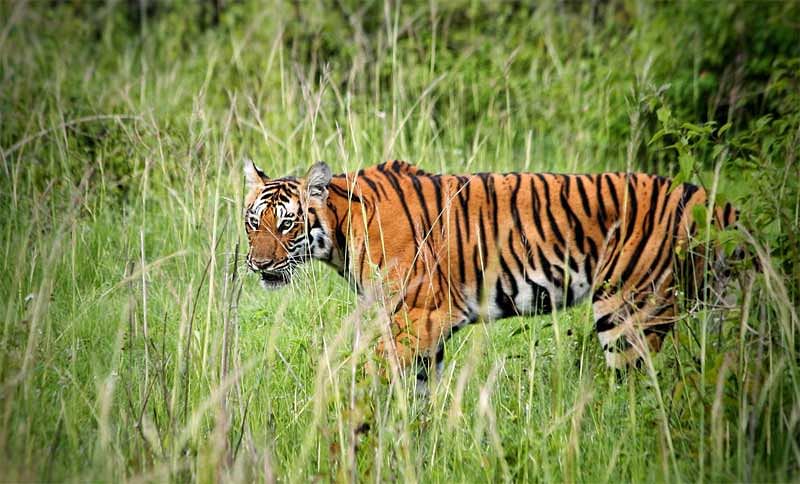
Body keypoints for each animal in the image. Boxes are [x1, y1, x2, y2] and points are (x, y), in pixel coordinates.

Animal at [241, 161, 740, 388]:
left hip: (631, 312)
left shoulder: (416, 317)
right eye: (253, 223)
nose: (259, 265)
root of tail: (703, 196)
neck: (343, 232)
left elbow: (365, 375)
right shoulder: (421, 328)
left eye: (285, 225)